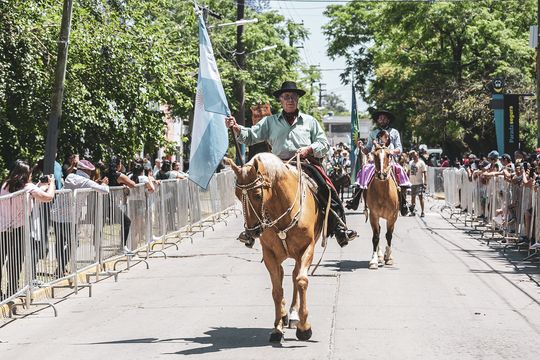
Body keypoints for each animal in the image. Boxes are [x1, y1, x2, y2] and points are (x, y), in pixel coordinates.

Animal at [223, 153, 322, 344]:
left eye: (257, 195)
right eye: (237, 195)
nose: (253, 231)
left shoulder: (307, 248)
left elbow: (301, 281)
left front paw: (304, 328)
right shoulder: (269, 254)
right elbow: (276, 290)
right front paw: (277, 328)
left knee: (295, 276)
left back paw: (294, 315)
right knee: (283, 276)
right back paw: (285, 315)